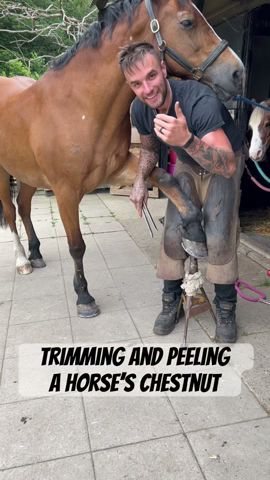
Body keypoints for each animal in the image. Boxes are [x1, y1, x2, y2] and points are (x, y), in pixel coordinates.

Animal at [0, 0, 245, 318]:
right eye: (187, 22)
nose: (238, 72)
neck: (79, 106)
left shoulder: (118, 169)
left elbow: (168, 182)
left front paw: (194, 234)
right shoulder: (65, 191)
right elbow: (76, 246)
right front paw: (84, 297)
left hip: (29, 175)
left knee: (24, 207)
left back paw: (36, 253)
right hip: (5, 174)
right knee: (10, 212)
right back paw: (22, 261)